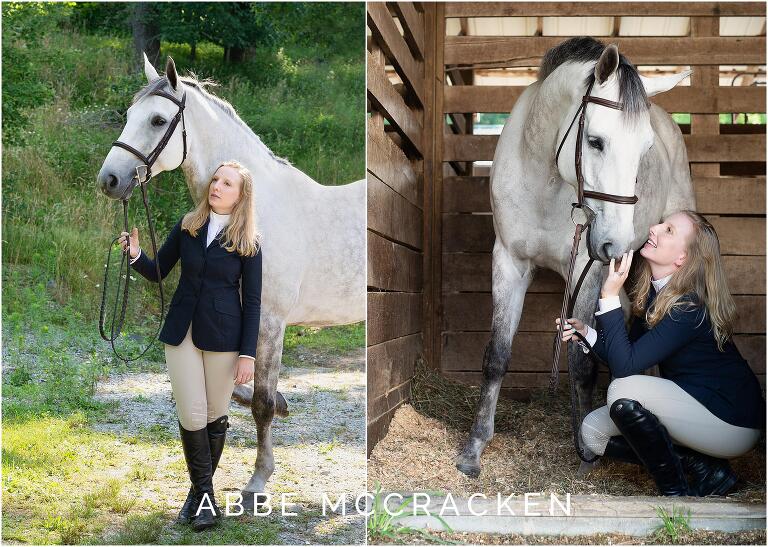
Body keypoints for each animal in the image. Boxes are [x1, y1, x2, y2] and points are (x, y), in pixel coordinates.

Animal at [97, 55, 365, 509]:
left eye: (157, 119)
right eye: (128, 115)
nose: (110, 180)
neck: (258, 211)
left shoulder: (270, 323)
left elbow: (261, 404)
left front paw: (257, 481)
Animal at [456, 37, 695, 478]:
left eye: (645, 151)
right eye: (596, 141)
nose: (616, 243)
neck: (546, 180)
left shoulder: (589, 269)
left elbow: (582, 362)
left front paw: (586, 447)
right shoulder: (509, 263)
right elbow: (497, 355)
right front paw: (474, 447)